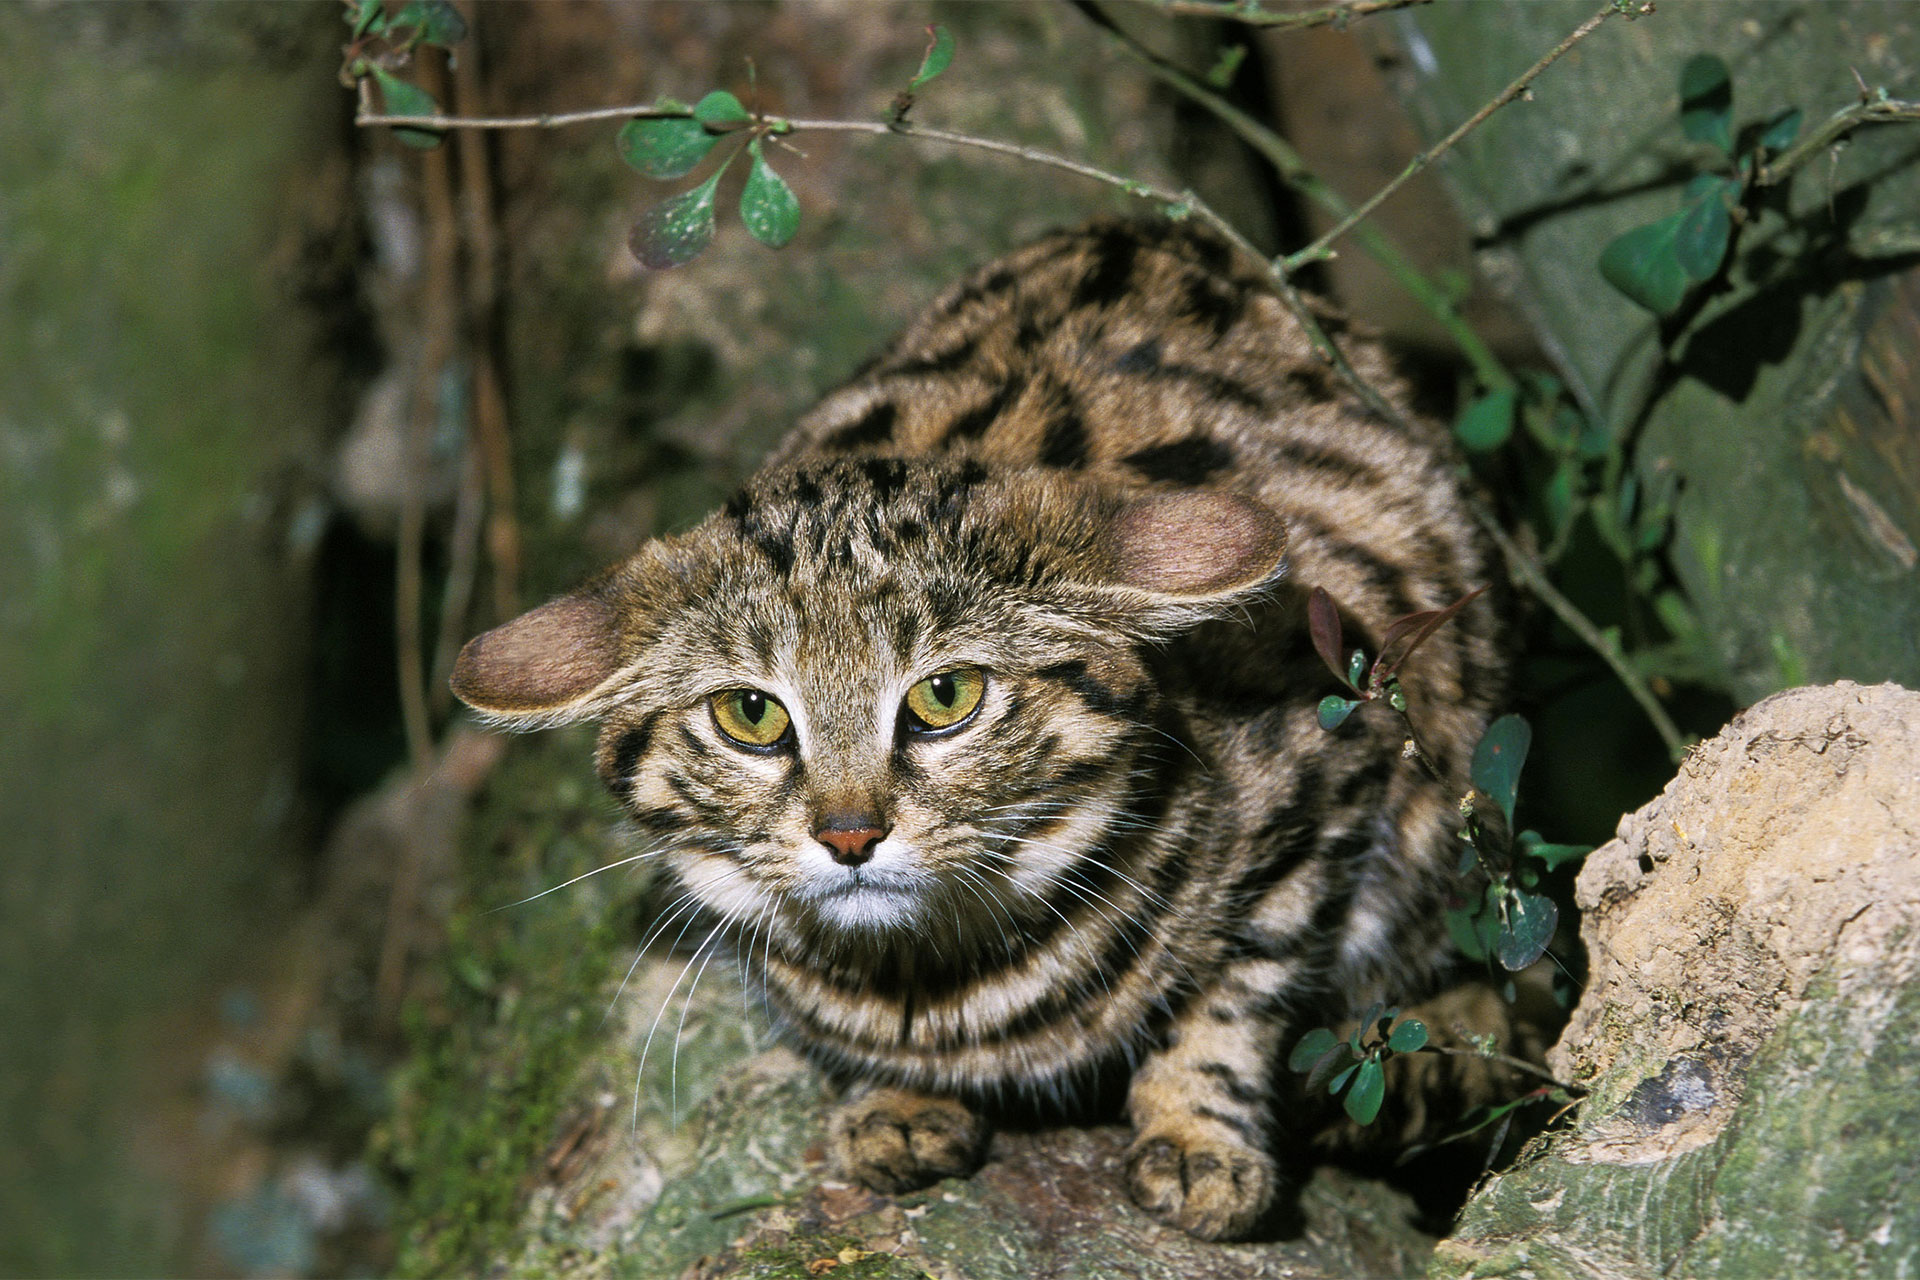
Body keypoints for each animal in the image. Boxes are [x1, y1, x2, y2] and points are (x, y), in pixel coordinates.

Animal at [449, 220, 1497, 1243]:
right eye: (751, 713)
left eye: (945, 696)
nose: (849, 835)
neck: (938, 984)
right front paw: (896, 1098)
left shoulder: (1334, 765)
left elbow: (1242, 984)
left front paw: (1199, 1132)